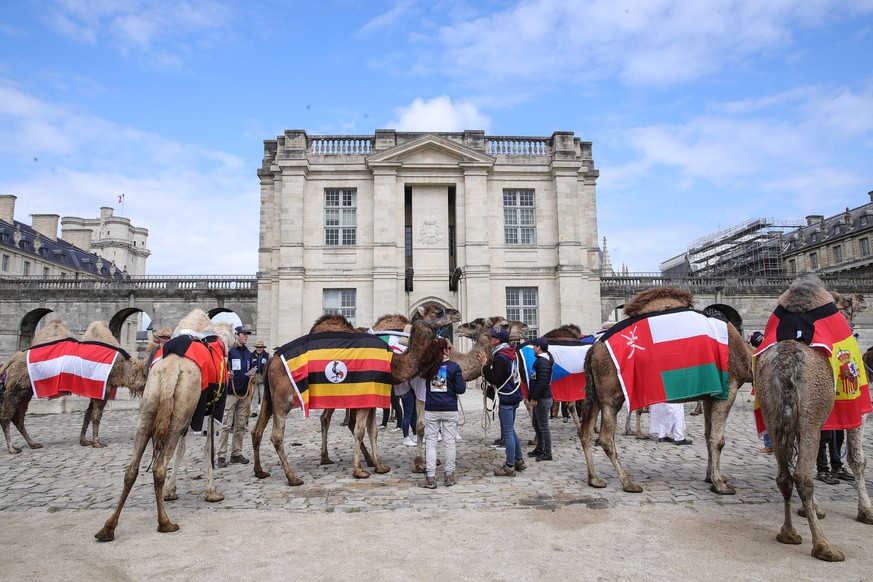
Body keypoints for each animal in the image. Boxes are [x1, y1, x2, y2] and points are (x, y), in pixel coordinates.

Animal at [0, 320, 146, 456]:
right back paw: (12, 448)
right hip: (14, 389)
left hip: (26, 391)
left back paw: (33, 444)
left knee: (18, 418)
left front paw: (84, 441)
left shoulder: (95, 391)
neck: (124, 369)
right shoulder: (104, 389)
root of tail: (13, 359)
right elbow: (96, 416)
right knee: (6, 416)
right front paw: (97, 443)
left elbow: (87, 415)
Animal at [96, 312, 233, 544]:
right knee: (159, 466)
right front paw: (212, 492)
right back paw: (165, 523)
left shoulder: (190, 416)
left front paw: (170, 490)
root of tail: (170, 370)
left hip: (148, 416)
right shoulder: (209, 413)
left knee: (131, 469)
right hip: (176, 419)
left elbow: (181, 450)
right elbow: (206, 449)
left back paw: (108, 527)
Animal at [250, 304, 464, 486]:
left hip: (270, 397)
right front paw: (360, 470)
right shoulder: (372, 392)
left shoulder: (373, 395)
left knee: (258, 430)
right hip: (284, 397)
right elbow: (364, 429)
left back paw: (261, 471)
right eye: (437, 311)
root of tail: (273, 360)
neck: (394, 360)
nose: (457, 313)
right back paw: (293, 477)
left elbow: (372, 430)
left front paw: (380, 466)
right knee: (277, 435)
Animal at [576, 288, 752, 492]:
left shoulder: (711, 395)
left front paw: (711, 477)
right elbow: (718, 439)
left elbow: (708, 435)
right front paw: (720, 484)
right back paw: (628, 483)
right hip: (612, 396)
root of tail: (594, 349)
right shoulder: (728, 389)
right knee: (605, 437)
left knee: (585, 433)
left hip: (596, 395)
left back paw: (594, 479)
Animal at [752, 276, 868, 564]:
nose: (863, 297)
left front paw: (812, 510)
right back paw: (823, 545)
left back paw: (789, 533)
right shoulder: (856, 409)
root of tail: (786, 361)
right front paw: (866, 512)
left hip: (774, 417)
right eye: (848, 300)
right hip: (809, 421)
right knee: (803, 476)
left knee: (785, 475)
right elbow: (857, 459)